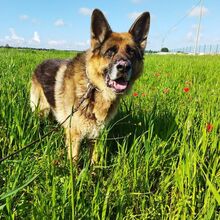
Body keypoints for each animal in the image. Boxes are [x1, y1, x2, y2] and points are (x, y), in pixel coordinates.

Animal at [30, 8, 150, 163]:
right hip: (41, 110)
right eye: (110, 51)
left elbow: (95, 161)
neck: (92, 88)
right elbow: (74, 163)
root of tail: (40, 64)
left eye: (132, 52)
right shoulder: (74, 137)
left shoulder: (96, 137)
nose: (124, 67)